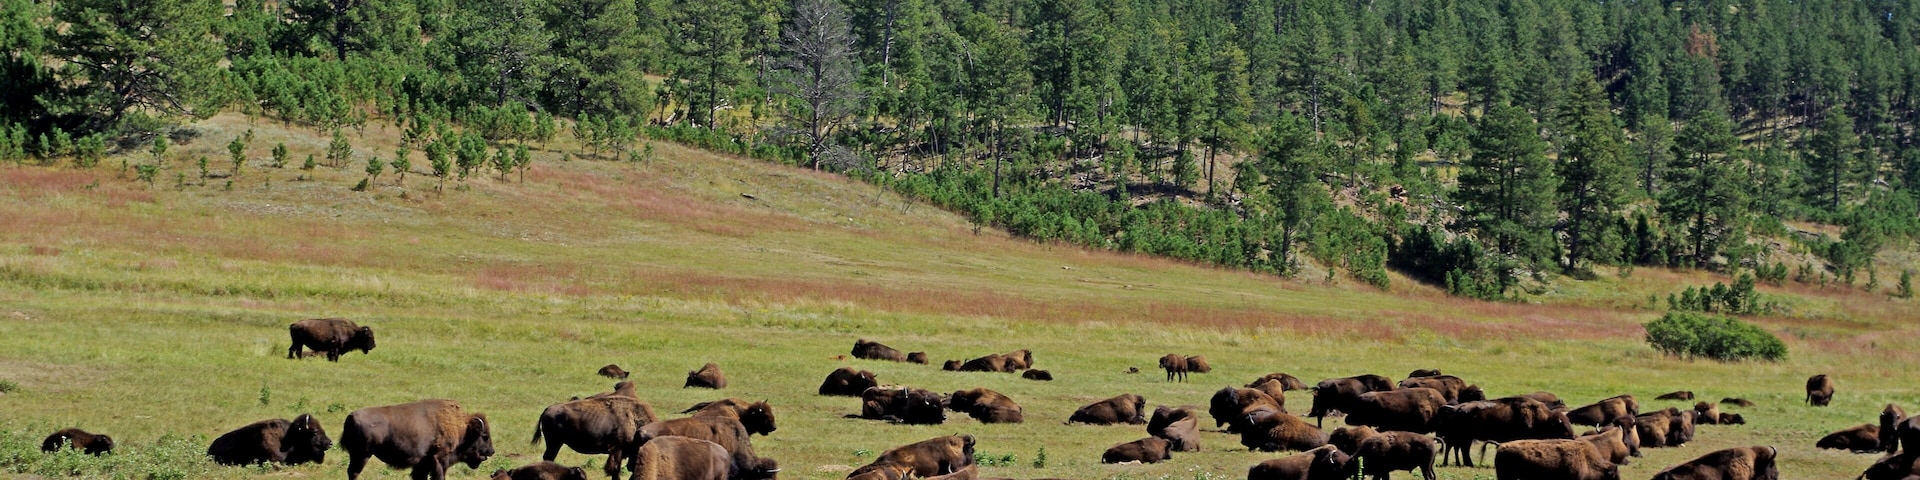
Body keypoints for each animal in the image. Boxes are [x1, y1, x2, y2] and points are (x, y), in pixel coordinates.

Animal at [342, 399, 494, 480]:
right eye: (485, 436)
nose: (491, 451)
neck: (461, 428)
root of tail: (351, 416)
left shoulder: (422, 464)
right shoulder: (439, 459)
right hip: (362, 455)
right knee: (353, 472)